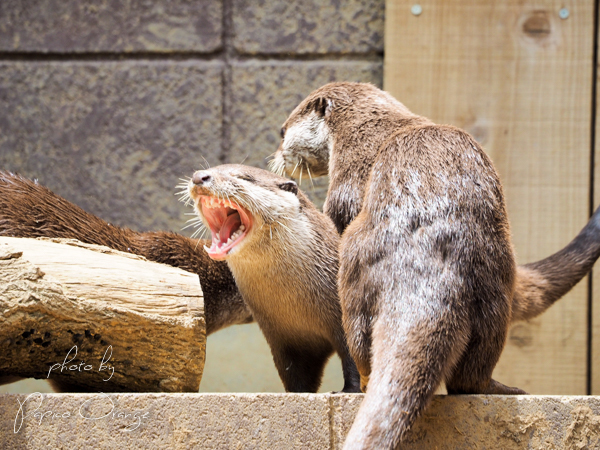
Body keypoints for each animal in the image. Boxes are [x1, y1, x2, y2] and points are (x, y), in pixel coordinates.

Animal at [186, 165, 360, 394]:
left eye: (243, 177)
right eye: (209, 169)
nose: (199, 176)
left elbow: (354, 357)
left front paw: (349, 390)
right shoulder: (283, 341)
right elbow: (295, 373)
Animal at [272, 82, 600, 448]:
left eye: (282, 131)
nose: (277, 156)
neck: (369, 125)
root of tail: (424, 277)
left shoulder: (348, 175)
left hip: (355, 279)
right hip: (492, 287)